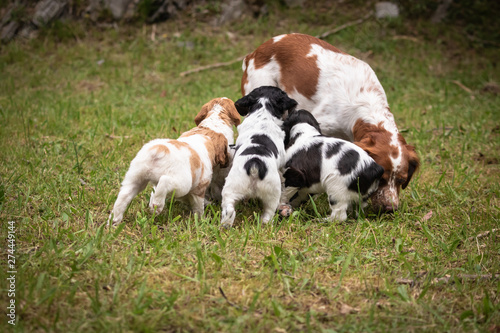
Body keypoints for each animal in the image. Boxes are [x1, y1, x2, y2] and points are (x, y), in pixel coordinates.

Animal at [108, 97, 241, 224]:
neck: (211, 127)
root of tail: (159, 150)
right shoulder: (199, 187)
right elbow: (198, 206)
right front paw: (201, 220)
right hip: (182, 183)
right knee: (164, 181)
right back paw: (157, 205)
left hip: (135, 178)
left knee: (123, 198)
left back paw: (114, 222)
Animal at [220, 85, 296, 228]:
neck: (263, 112)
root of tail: (255, 164)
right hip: (272, 192)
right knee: (268, 214)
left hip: (232, 188)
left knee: (229, 210)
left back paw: (225, 225)